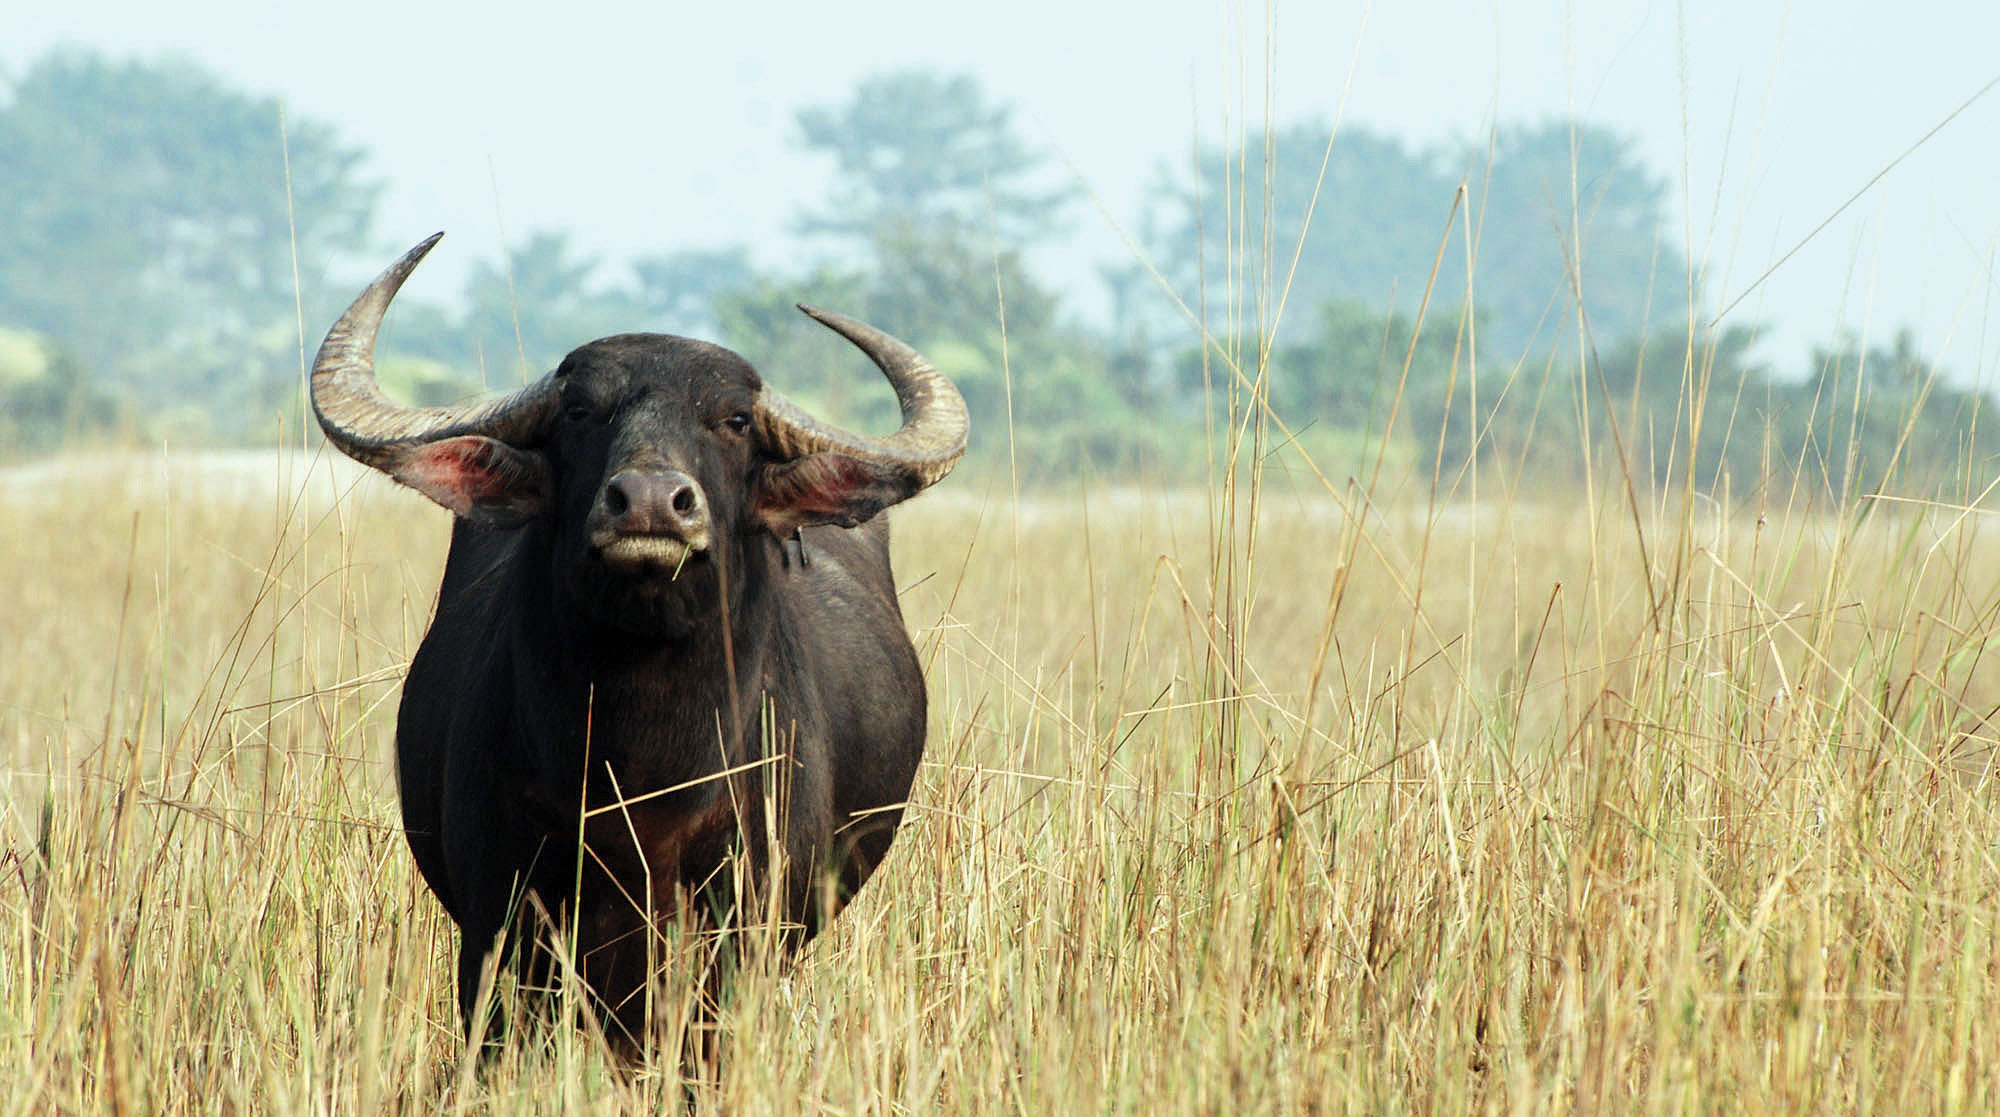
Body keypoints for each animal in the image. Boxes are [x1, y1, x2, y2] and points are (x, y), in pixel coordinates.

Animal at [306, 232, 968, 1056]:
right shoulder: (497, 939)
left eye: (736, 418)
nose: (650, 502)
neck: (643, 775)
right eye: (580, 409)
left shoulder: (740, 938)